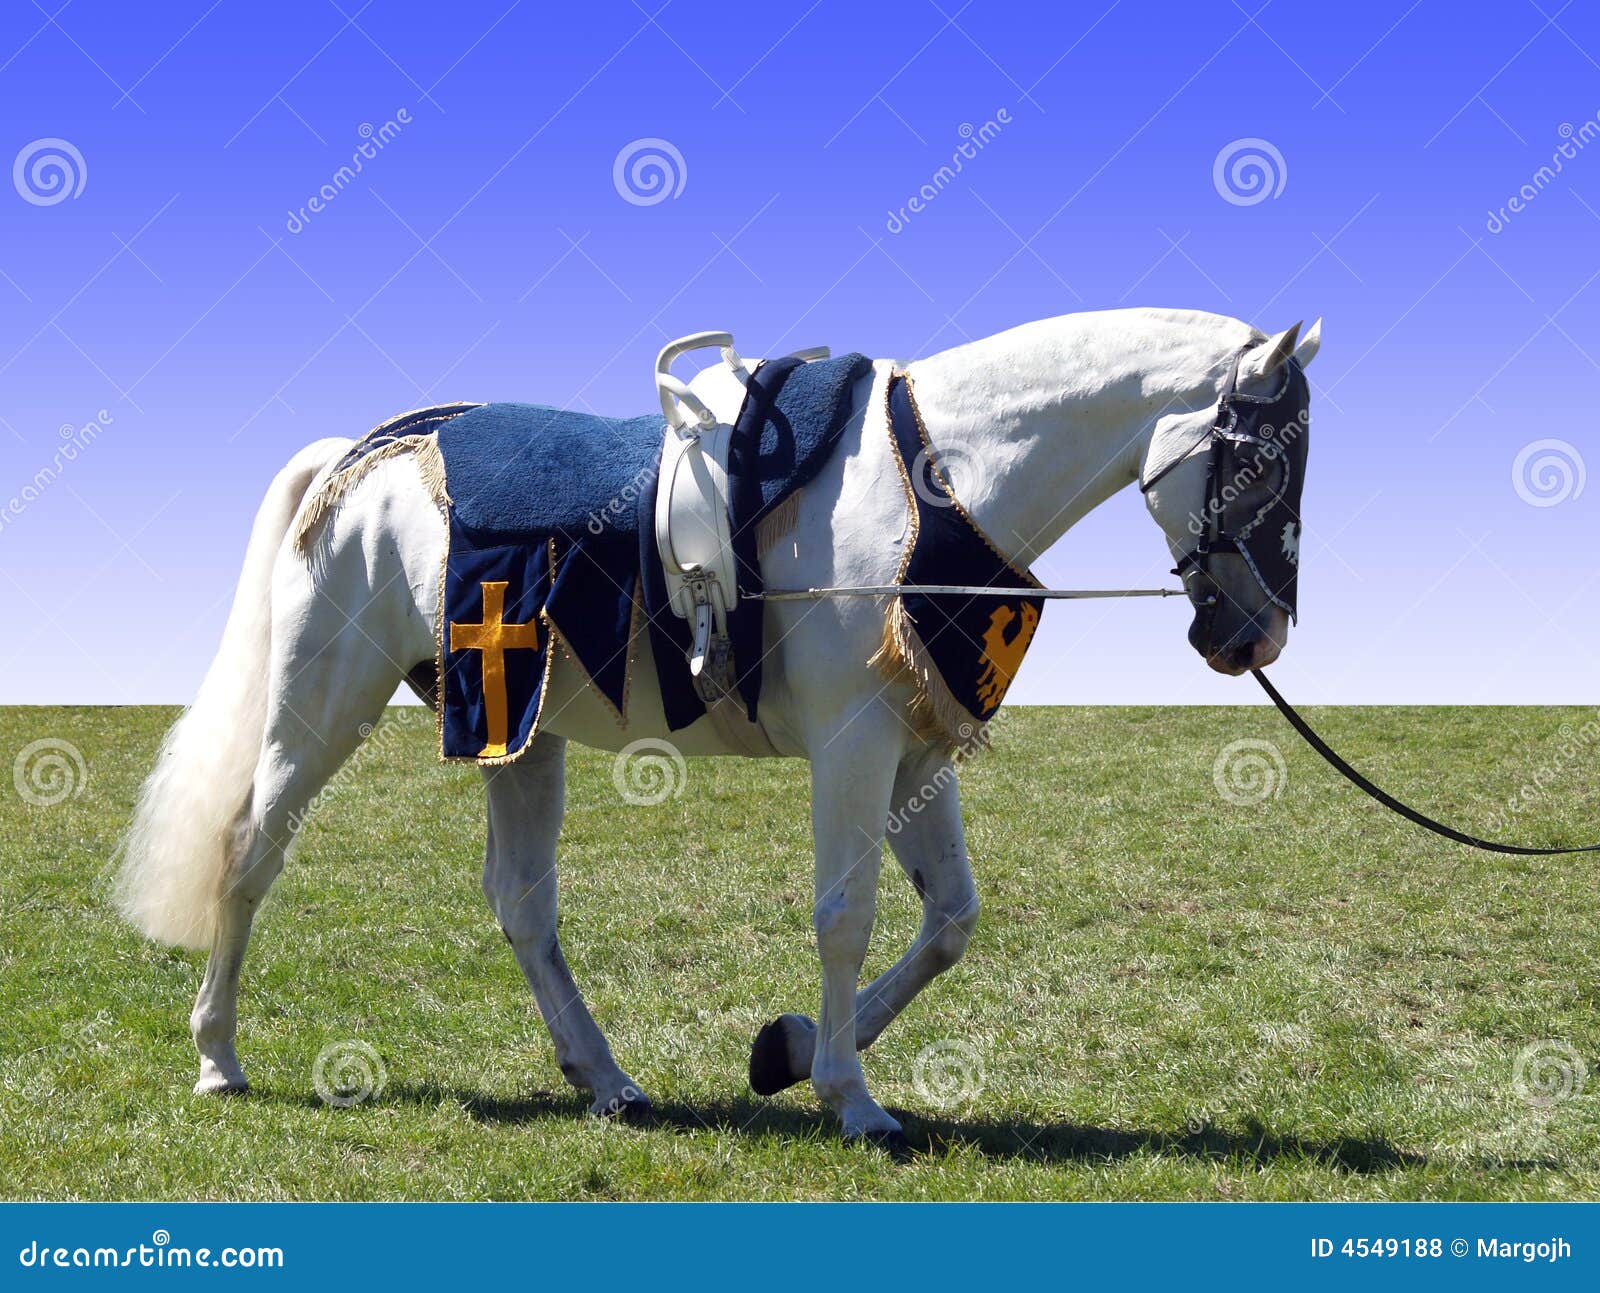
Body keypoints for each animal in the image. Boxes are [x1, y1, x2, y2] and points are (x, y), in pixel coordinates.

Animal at [117, 306, 1321, 1145]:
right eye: (1261, 458)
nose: (1255, 632)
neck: (929, 478)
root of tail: (354, 456)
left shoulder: (917, 752)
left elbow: (951, 921)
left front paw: (789, 1051)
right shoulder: (852, 747)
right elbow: (846, 916)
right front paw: (849, 1096)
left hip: (517, 731)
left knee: (523, 907)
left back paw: (605, 1080)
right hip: (322, 703)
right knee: (248, 852)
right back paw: (217, 1056)